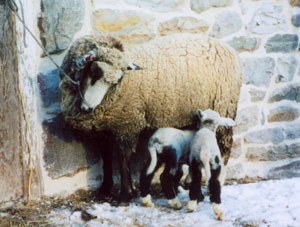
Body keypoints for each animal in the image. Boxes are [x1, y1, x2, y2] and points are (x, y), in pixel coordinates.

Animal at [59, 33, 244, 202]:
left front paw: (126, 194)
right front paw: (106, 188)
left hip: (224, 108)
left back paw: (217, 181)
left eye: (117, 80)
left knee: (224, 150)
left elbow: (123, 157)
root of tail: (228, 49)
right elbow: (106, 157)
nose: (88, 107)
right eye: (93, 71)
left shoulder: (127, 123)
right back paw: (188, 181)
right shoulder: (104, 128)